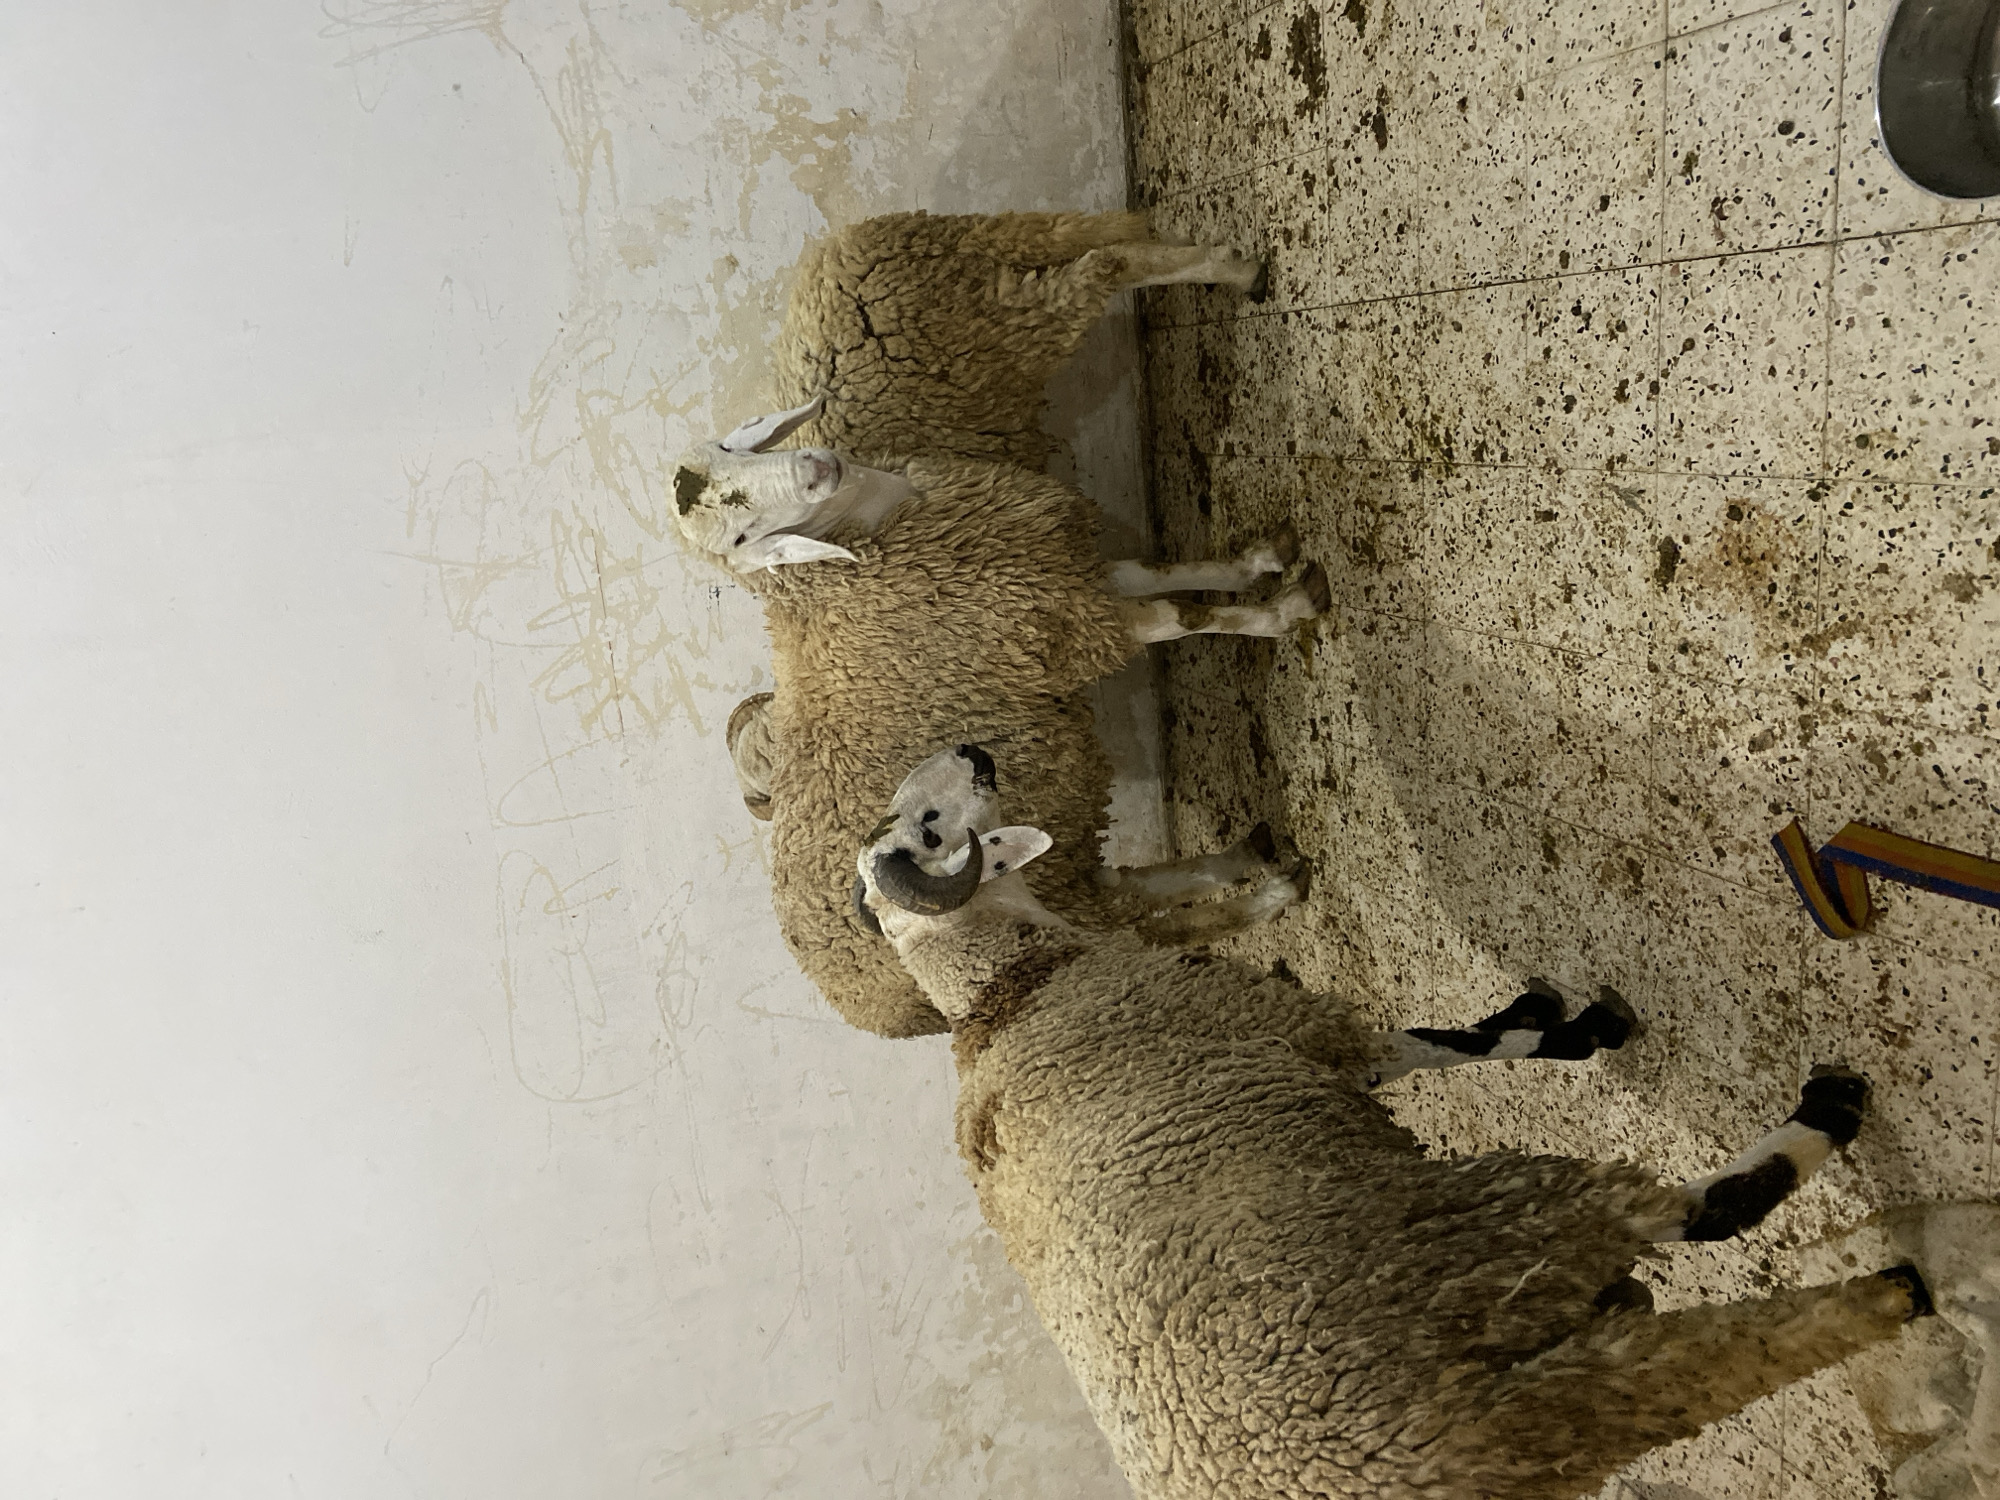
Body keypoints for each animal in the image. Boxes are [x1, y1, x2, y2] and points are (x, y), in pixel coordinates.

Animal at [677, 410, 1329, 1037]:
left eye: (729, 449)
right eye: (743, 537)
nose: (816, 466)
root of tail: (854, 1003)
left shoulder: (1064, 574)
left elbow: (1166, 571)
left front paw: (1262, 560)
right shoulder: (1064, 622)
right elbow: (1184, 614)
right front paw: (1285, 611)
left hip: (1050, 872)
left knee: (1133, 890)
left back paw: (1248, 856)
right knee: (1153, 925)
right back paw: (1271, 893)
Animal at [769, 210, 1264, 469]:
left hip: (1010, 318)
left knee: (1112, 263)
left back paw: (1239, 272)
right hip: (1001, 275)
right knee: (1086, 243)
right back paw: (1211, 251)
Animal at [850, 743, 1940, 1500]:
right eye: (932, 826)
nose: (978, 752)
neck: (1010, 987)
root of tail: (1440, 1449)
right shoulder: (1305, 1031)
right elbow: (1446, 1046)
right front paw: (1568, 1031)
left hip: (1546, 1359)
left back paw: (1880, 1296)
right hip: (1483, 1236)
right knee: (1700, 1216)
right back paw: (1833, 1138)